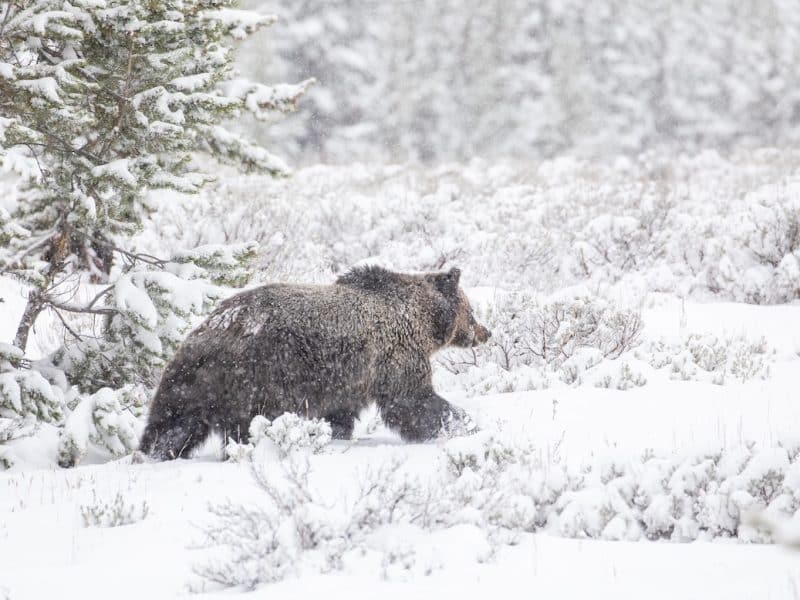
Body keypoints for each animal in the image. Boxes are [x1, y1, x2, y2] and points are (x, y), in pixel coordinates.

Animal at [139, 265, 491, 460]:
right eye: (472, 311)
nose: (485, 332)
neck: (423, 321)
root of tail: (210, 329)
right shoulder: (394, 355)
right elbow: (412, 400)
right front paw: (462, 423)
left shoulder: (346, 377)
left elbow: (341, 414)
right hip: (256, 377)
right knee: (245, 426)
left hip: (189, 381)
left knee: (170, 422)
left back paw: (153, 454)